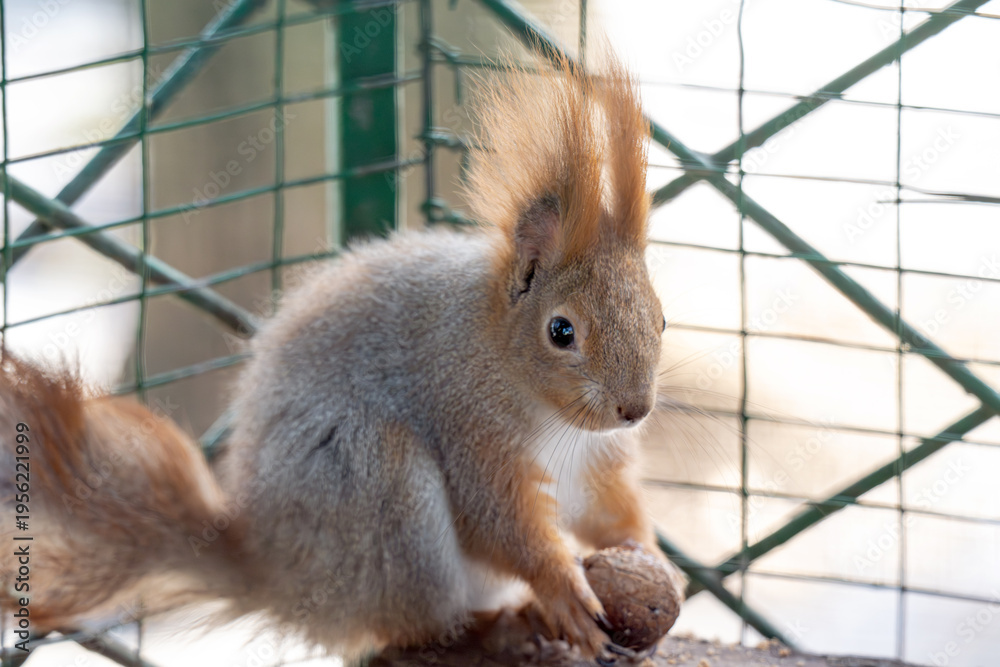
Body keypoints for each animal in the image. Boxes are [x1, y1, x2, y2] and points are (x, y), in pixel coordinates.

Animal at [1, 52, 681, 660]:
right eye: (561, 331)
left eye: (662, 317)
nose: (634, 409)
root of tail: (283, 579)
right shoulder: (469, 425)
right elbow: (499, 521)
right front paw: (563, 589)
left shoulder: (596, 461)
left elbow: (609, 507)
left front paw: (645, 555)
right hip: (379, 495)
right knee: (419, 626)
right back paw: (502, 627)